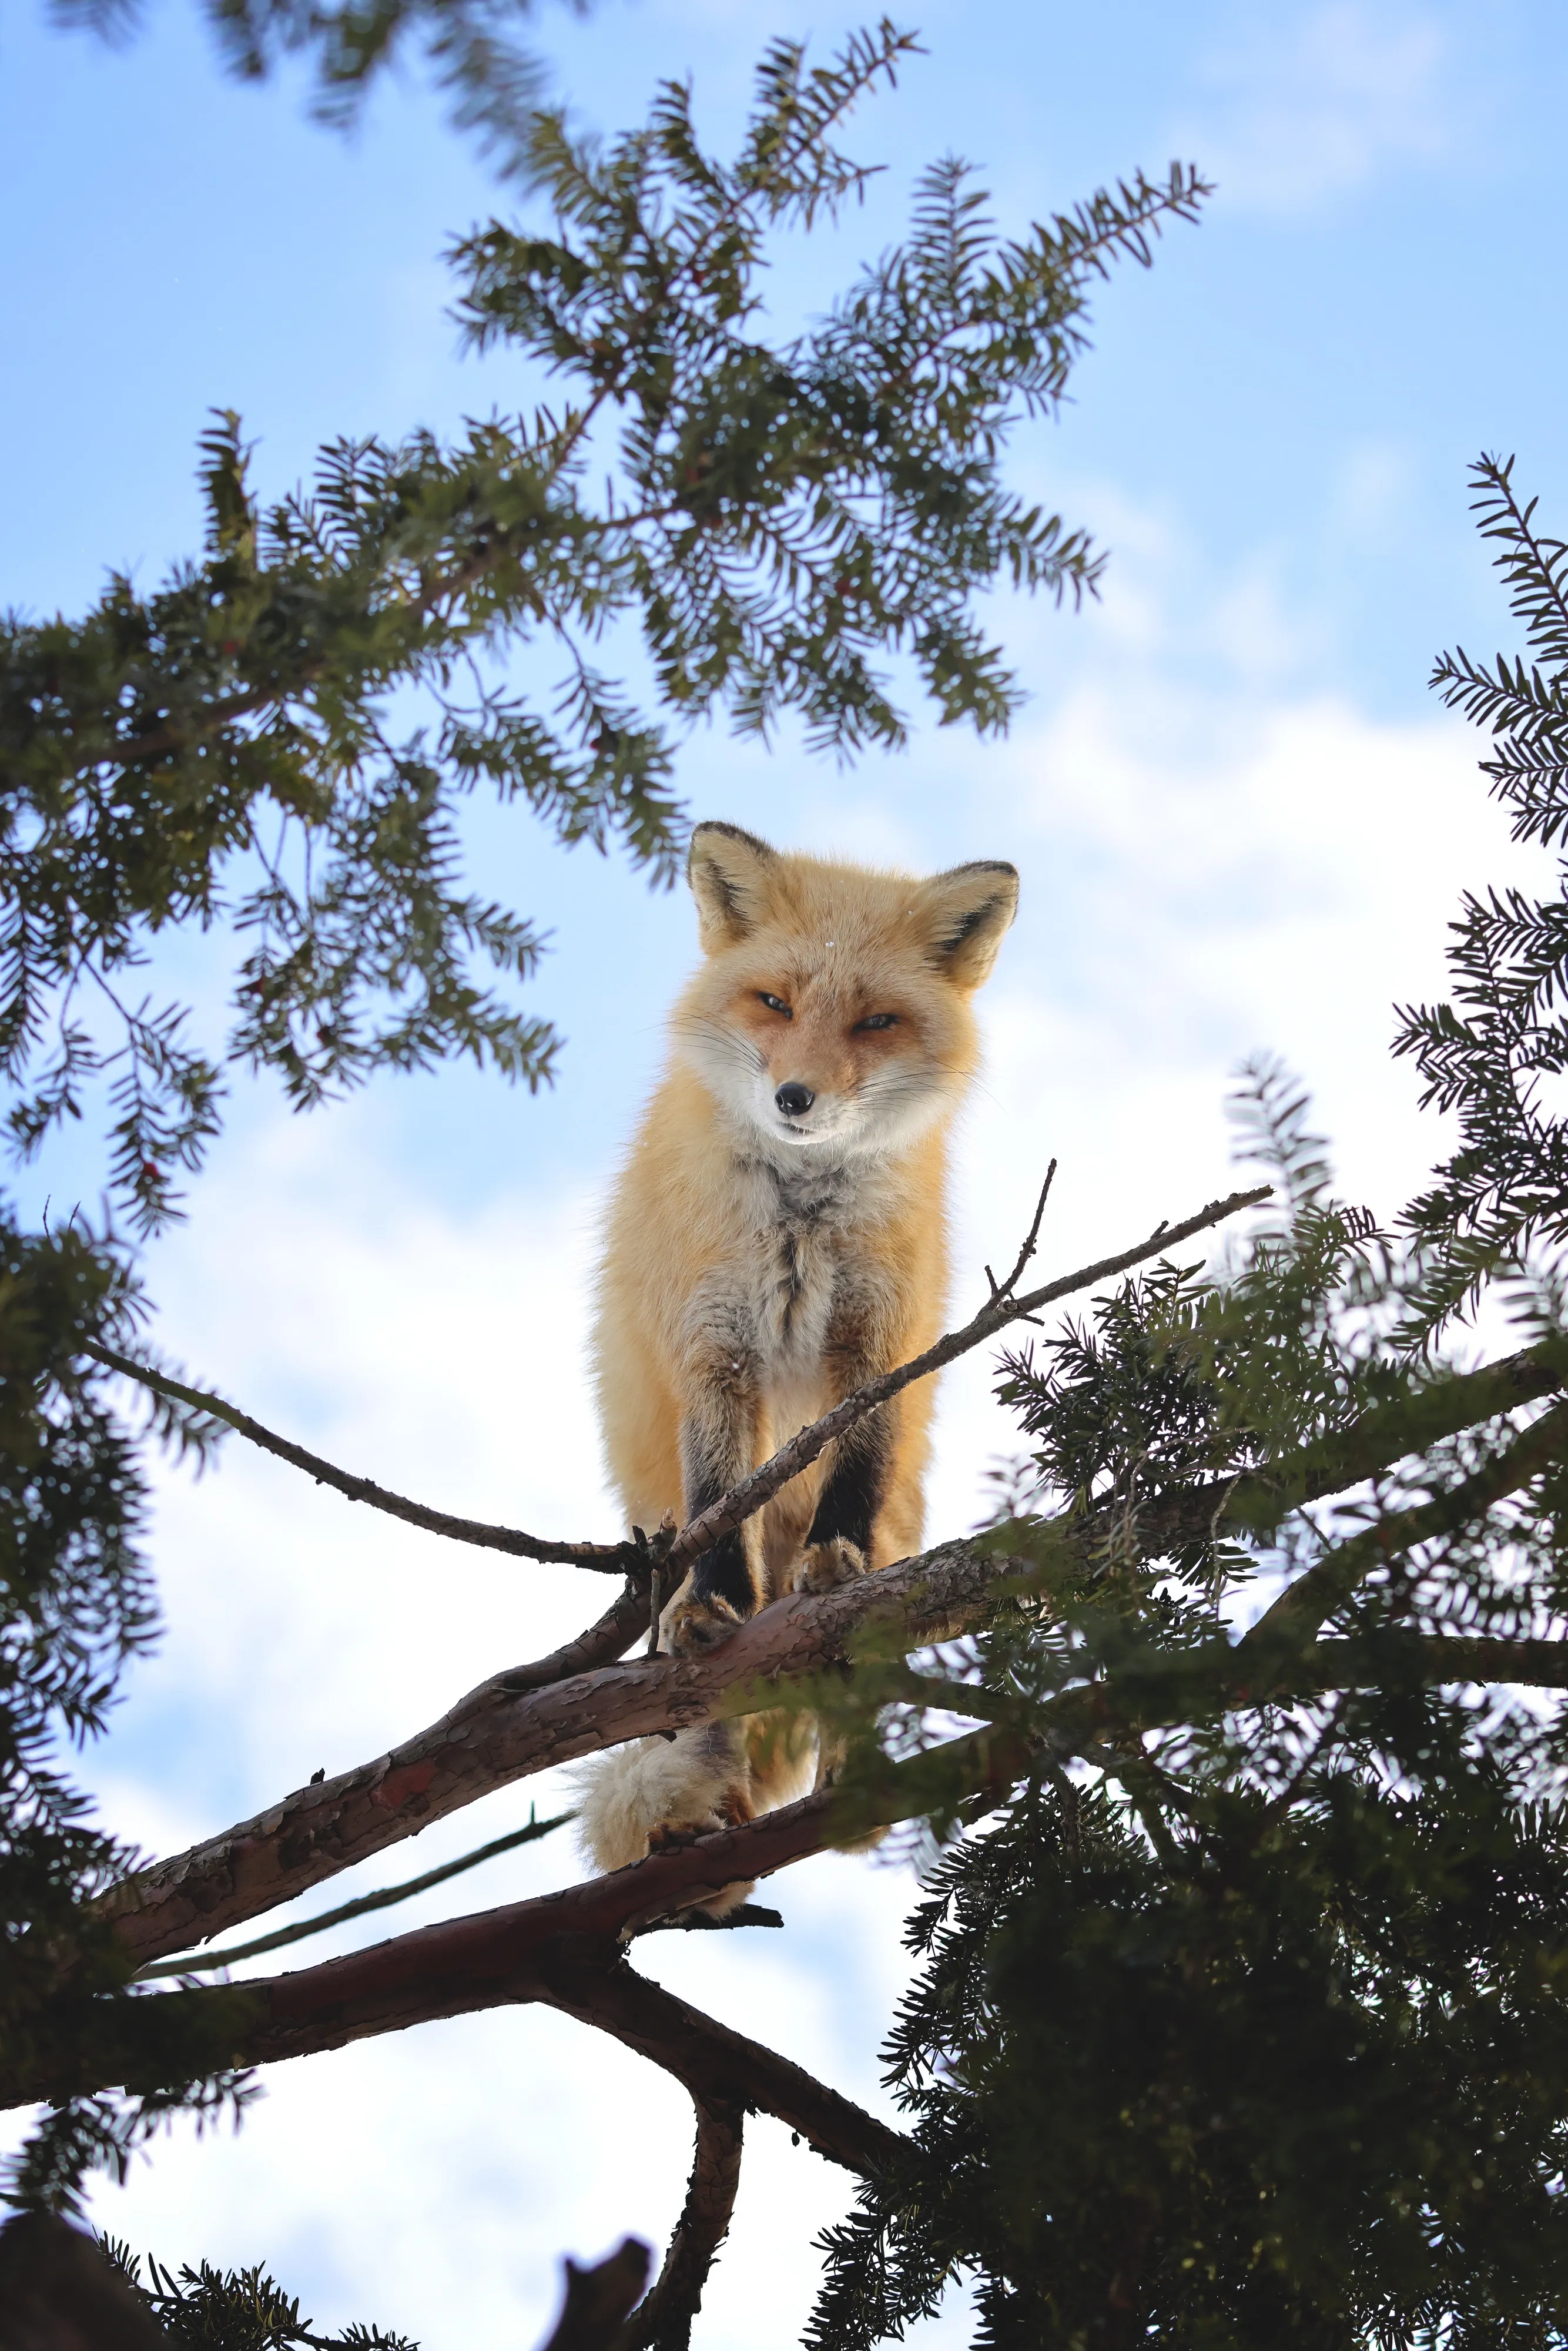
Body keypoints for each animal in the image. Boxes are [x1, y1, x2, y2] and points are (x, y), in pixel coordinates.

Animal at [578, 821, 1018, 1909]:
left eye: (874, 1021)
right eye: (774, 1002)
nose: (795, 1097)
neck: (800, 1224)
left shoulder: (878, 1348)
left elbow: (854, 1468)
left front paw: (836, 1559)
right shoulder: (716, 1351)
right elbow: (717, 1504)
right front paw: (717, 1605)